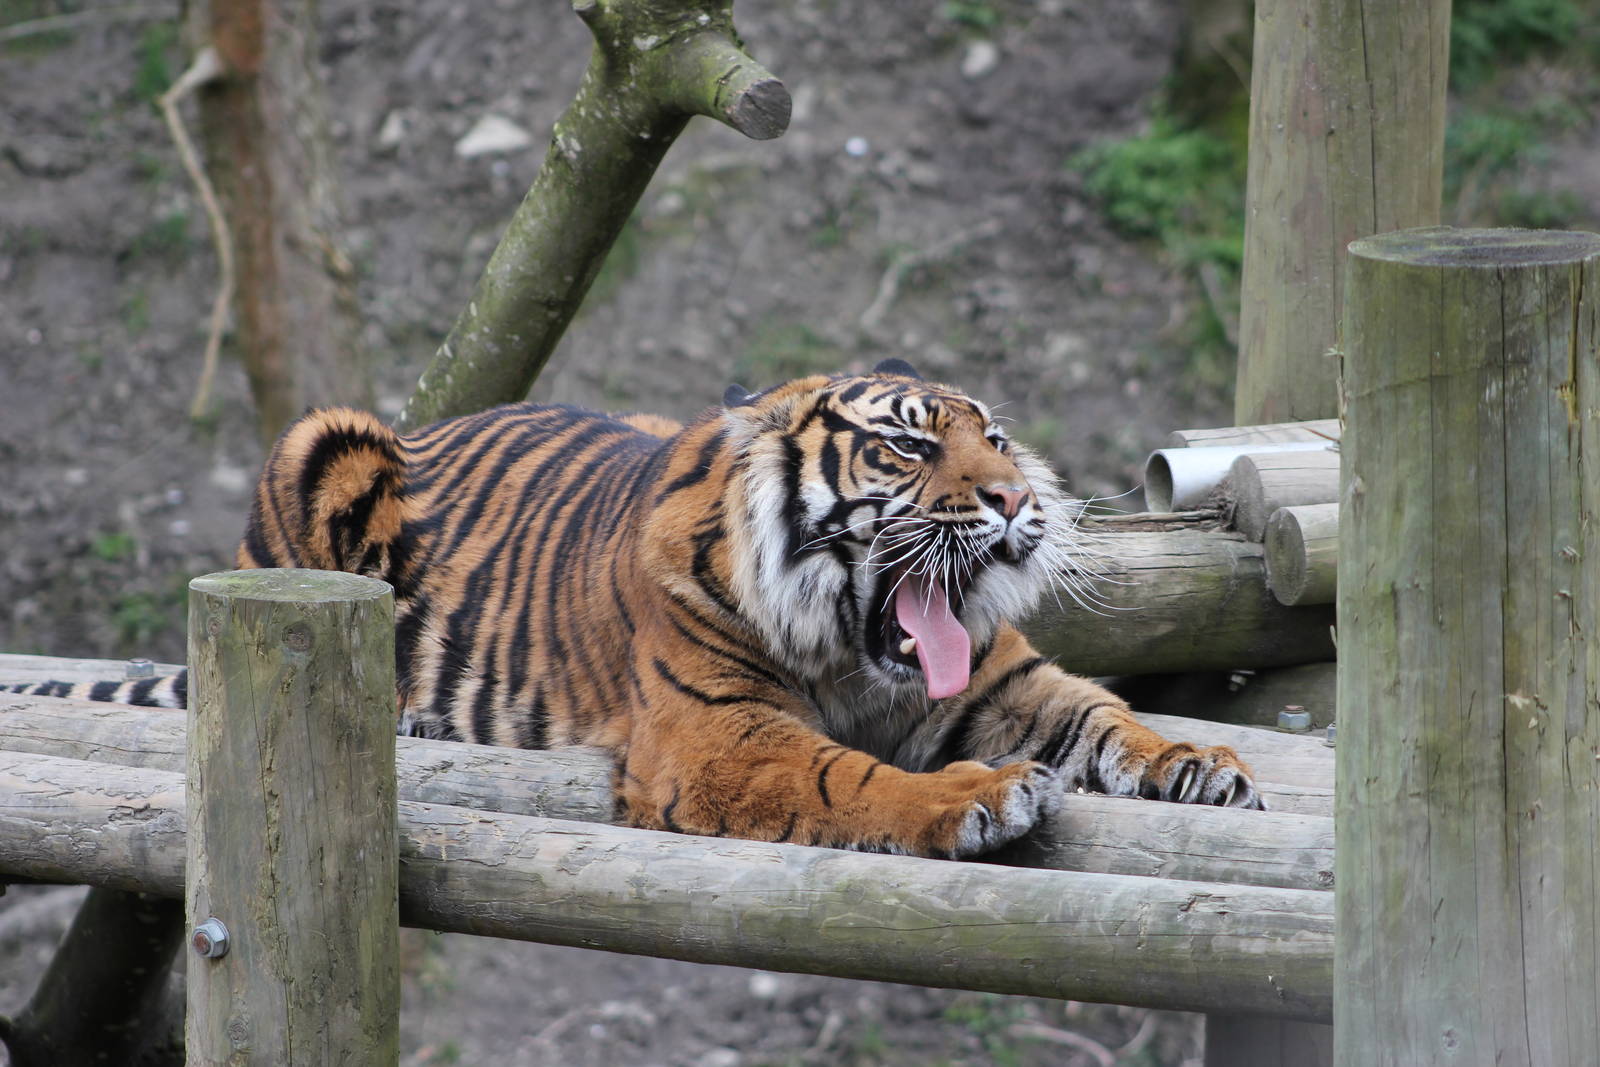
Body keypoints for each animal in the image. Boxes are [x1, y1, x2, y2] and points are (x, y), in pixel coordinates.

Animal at [7, 360, 1262, 856]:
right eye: (907, 446)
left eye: (992, 437)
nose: (1016, 499)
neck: (850, 653)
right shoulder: (715, 735)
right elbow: (847, 776)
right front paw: (981, 798)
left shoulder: (998, 679)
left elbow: (1100, 710)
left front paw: (1199, 762)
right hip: (319, 439)